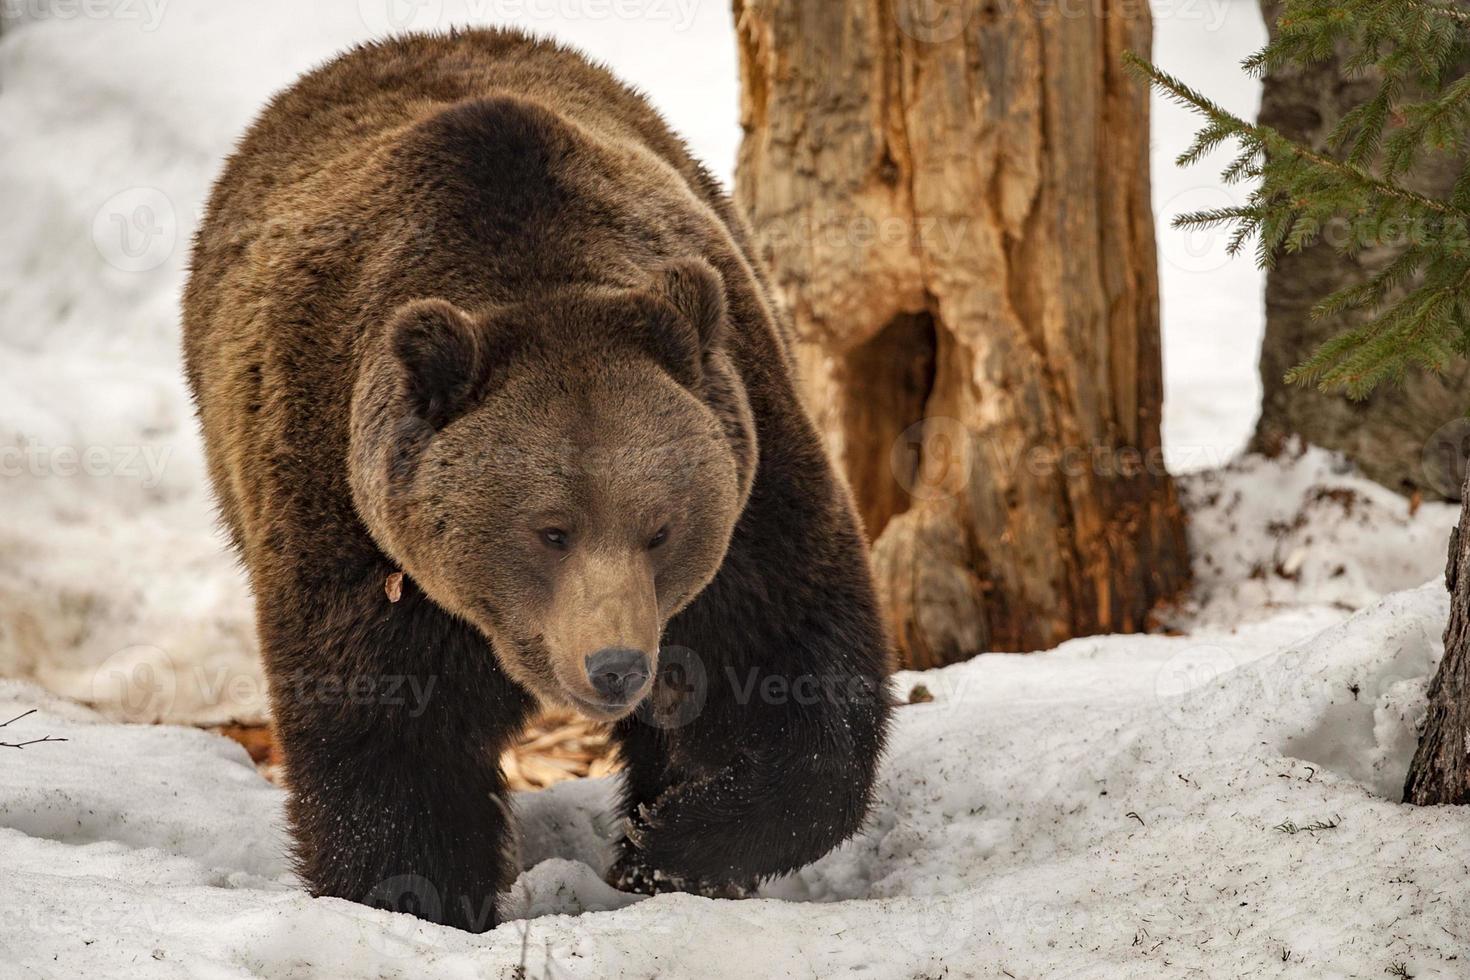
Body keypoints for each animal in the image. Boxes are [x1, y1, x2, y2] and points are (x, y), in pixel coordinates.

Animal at [185, 28, 893, 934]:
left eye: (660, 528)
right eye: (549, 530)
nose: (615, 665)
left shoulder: (752, 490)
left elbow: (791, 677)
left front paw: (666, 842)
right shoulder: (347, 518)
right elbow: (388, 736)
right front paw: (414, 893)